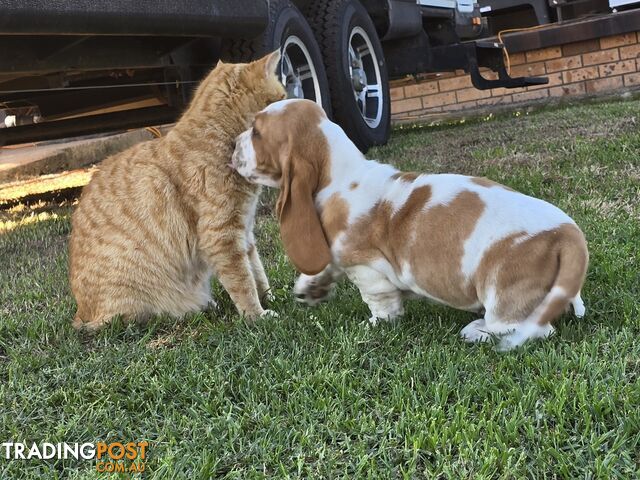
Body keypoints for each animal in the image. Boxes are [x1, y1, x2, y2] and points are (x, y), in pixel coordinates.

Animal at [69, 51, 286, 330]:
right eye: (282, 96)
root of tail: (81, 315)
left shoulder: (245, 232)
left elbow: (257, 272)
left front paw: (270, 297)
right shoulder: (222, 236)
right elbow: (243, 283)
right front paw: (256, 315)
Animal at [231, 99, 592, 350]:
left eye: (257, 132)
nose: (233, 145)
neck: (340, 174)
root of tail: (568, 234)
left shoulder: (367, 268)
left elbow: (379, 301)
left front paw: (374, 325)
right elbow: (327, 261)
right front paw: (312, 287)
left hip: (502, 297)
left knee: (531, 329)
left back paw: (476, 331)